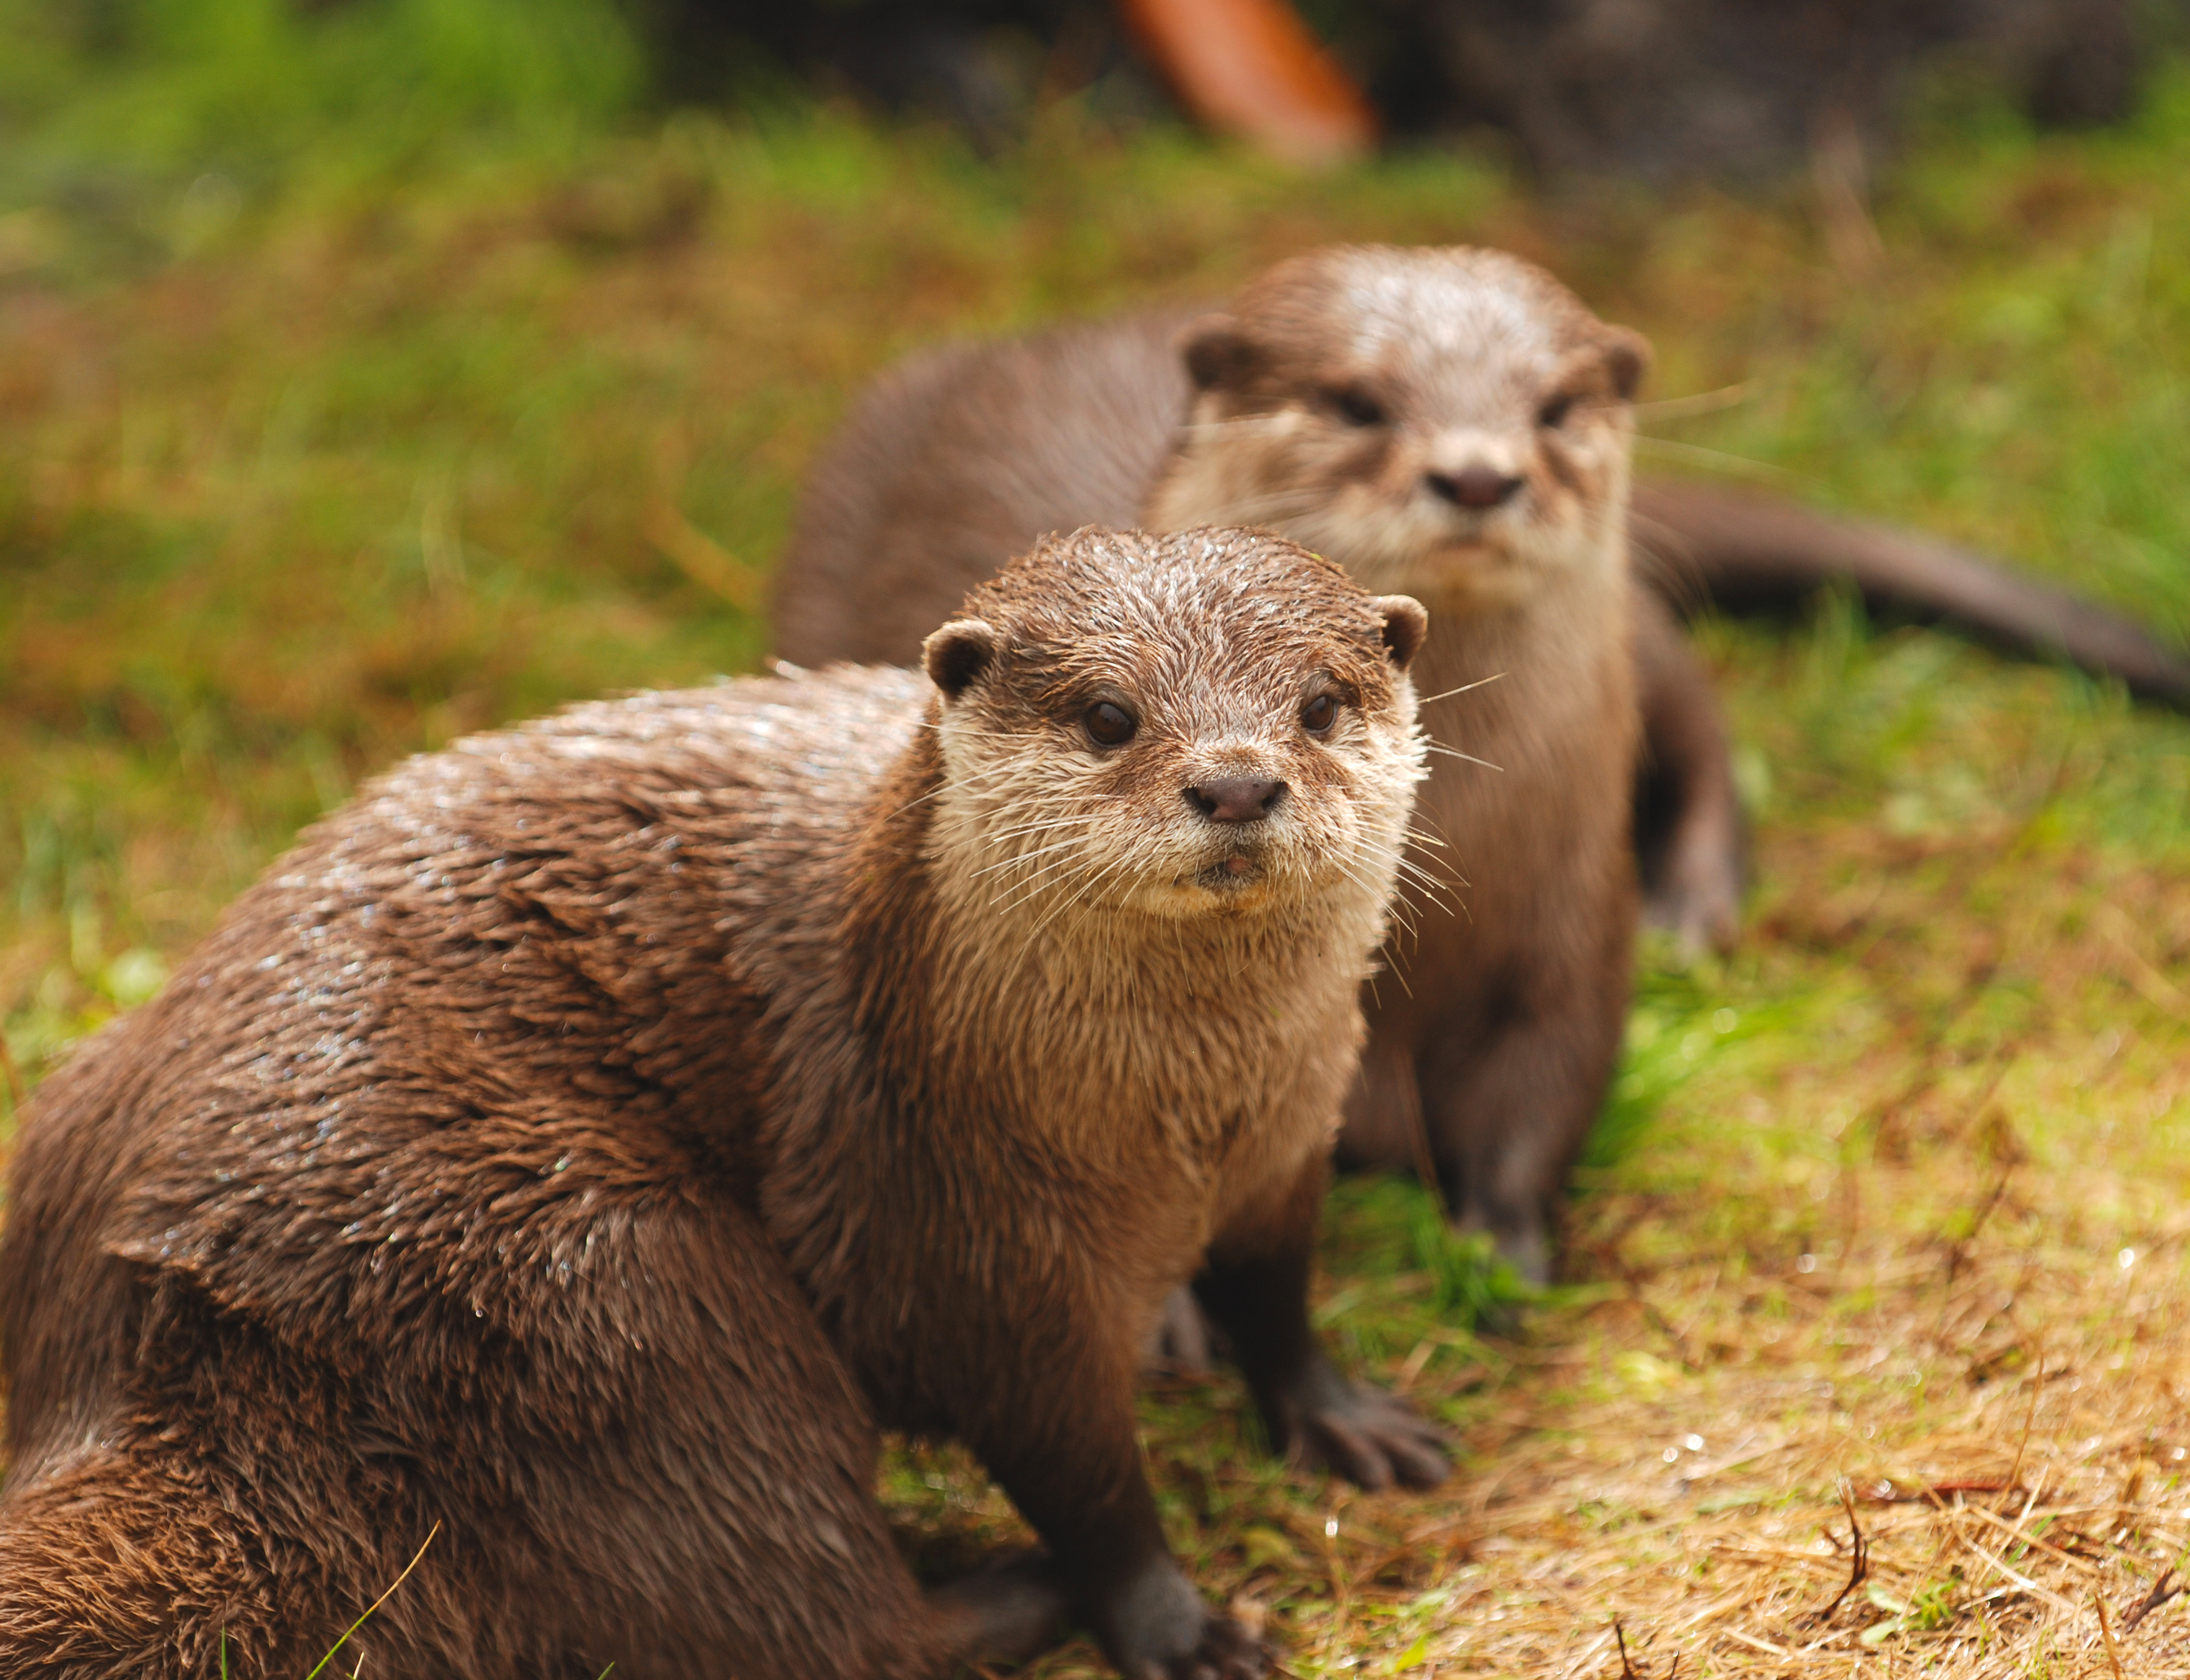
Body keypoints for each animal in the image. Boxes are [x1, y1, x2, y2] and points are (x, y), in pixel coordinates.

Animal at [0, 530, 1445, 1680]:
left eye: (1320, 704)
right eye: (1106, 715)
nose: (1238, 780)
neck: (1182, 1131)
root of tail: (157, 1335)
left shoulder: (1292, 1138)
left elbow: (1274, 1287)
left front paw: (1346, 1416)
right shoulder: (958, 1232)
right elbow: (1080, 1468)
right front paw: (1173, 1624)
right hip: (622, 1300)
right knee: (825, 1612)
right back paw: (998, 1582)